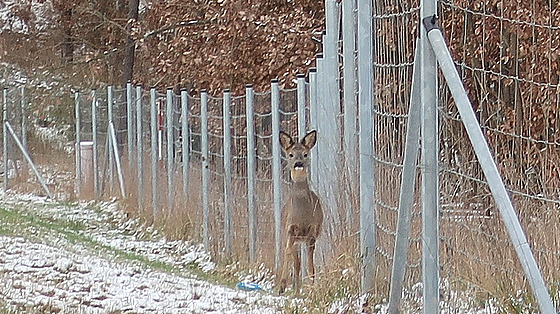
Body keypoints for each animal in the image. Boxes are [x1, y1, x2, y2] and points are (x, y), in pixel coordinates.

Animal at [276, 131, 322, 294]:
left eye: (305, 154)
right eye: (290, 154)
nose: (298, 163)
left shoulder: (312, 233)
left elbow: (310, 264)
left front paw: (312, 287)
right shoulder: (290, 230)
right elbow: (288, 254)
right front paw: (282, 285)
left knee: (299, 262)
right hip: (291, 237)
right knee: (294, 259)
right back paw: (294, 288)